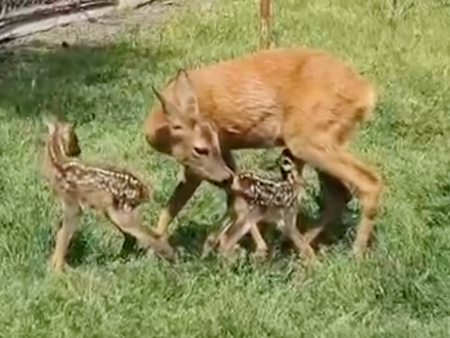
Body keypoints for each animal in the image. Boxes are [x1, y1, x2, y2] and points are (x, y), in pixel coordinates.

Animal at [41, 113, 176, 270]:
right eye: (76, 137)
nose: (79, 151)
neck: (57, 166)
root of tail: (144, 192)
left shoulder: (72, 203)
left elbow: (63, 234)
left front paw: (58, 268)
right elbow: (61, 232)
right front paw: (54, 264)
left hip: (122, 210)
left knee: (148, 234)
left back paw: (171, 258)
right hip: (115, 210)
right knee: (132, 236)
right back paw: (121, 259)